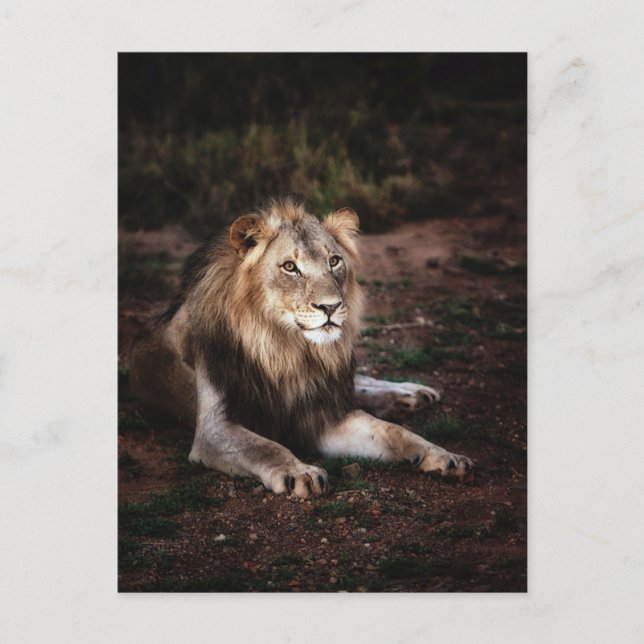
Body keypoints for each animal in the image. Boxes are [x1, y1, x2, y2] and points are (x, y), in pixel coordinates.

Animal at [129, 196, 473, 498]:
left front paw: (442, 455)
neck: (288, 350)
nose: (331, 307)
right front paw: (301, 473)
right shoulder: (214, 430)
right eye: (290, 267)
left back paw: (410, 393)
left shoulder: (321, 414)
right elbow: (266, 448)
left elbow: (392, 431)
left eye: (334, 261)